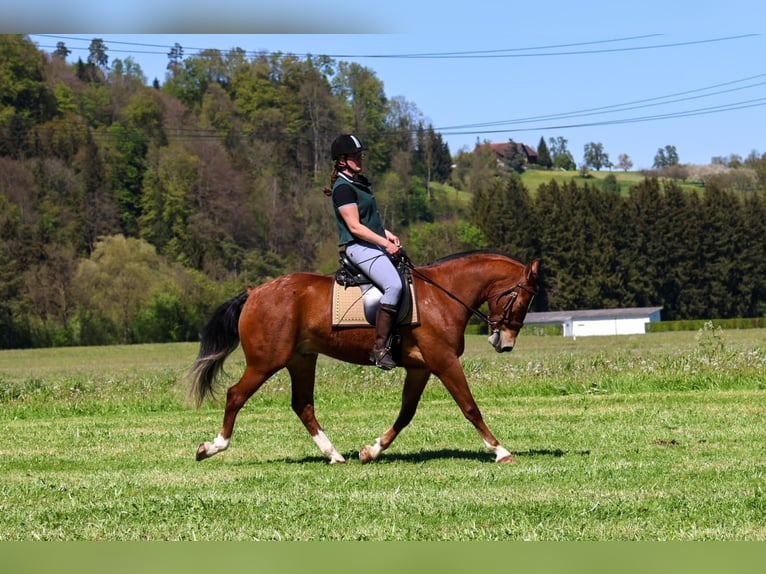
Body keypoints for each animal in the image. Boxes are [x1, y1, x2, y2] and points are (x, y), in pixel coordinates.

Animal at [189, 250, 544, 466]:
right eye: (521, 300)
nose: (505, 343)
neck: (442, 294)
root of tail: (255, 291)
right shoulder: (444, 362)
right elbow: (470, 407)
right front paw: (500, 450)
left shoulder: (421, 368)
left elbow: (406, 413)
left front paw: (372, 450)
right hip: (266, 362)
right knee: (236, 395)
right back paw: (213, 446)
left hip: (301, 359)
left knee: (302, 405)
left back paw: (333, 454)